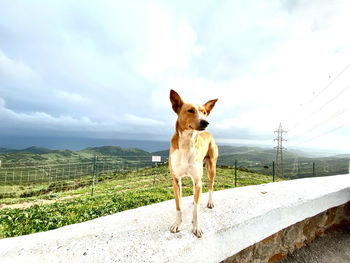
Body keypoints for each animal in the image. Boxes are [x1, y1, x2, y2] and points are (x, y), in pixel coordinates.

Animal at [167, 89, 219, 238]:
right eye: (190, 110)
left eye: (204, 112)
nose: (205, 122)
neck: (187, 142)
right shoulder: (176, 181)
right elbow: (178, 205)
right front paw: (177, 224)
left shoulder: (197, 179)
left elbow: (196, 210)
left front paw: (196, 227)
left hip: (211, 168)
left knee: (211, 185)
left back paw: (209, 202)